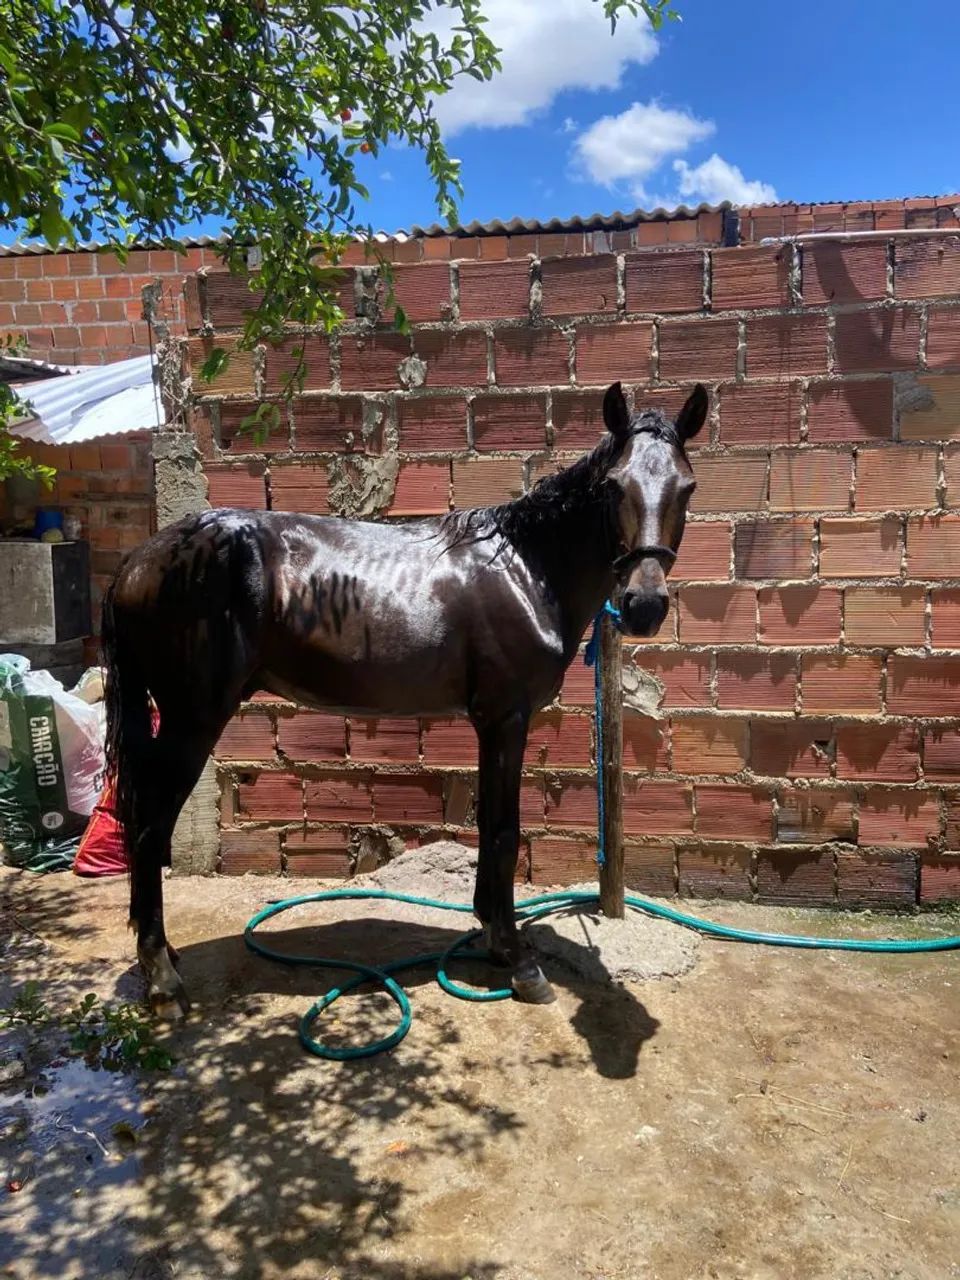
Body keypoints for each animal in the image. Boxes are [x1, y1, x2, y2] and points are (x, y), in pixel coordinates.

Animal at [101, 380, 707, 1016]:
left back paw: (164, 960)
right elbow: (504, 830)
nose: (644, 605)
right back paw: (163, 980)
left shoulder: (490, 722)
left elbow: (490, 823)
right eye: (614, 485)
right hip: (192, 721)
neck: (525, 567)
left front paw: (493, 939)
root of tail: (138, 561)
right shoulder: (506, 717)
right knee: (147, 830)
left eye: (687, 487)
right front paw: (520, 962)